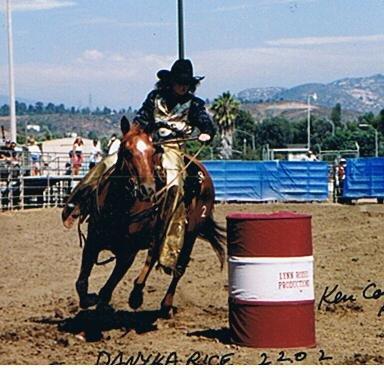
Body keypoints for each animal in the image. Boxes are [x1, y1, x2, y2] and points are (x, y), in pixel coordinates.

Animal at [61, 116, 226, 318]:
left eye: (152, 151)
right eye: (126, 151)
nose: (147, 189)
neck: (118, 207)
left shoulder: (128, 253)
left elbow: (108, 287)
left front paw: (104, 302)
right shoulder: (93, 242)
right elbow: (81, 283)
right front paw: (91, 300)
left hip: (190, 234)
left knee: (176, 267)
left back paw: (153, 301)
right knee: (154, 255)